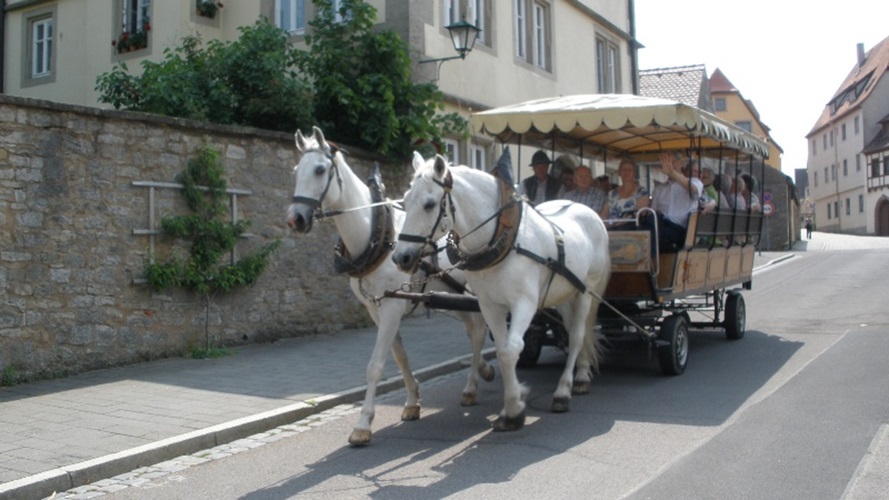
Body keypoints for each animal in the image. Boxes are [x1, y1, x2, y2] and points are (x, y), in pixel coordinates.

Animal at [284, 128, 492, 446]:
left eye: (320, 169)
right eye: (296, 171)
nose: (295, 218)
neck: (379, 237)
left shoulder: (393, 306)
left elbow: (376, 366)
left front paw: (362, 425)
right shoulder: (376, 306)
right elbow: (400, 356)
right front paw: (412, 402)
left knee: (480, 330)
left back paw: (472, 385)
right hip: (453, 294)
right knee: (475, 329)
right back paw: (481, 371)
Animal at [396, 154, 612, 432]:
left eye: (429, 204)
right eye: (405, 200)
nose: (400, 257)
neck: (502, 238)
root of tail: (587, 210)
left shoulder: (524, 303)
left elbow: (511, 350)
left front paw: (513, 410)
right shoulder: (490, 305)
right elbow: (501, 349)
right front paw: (515, 399)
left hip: (587, 290)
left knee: (577, 335)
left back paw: (565, 390)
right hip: (563, 294)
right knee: (575, 330)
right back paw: (583, 375)